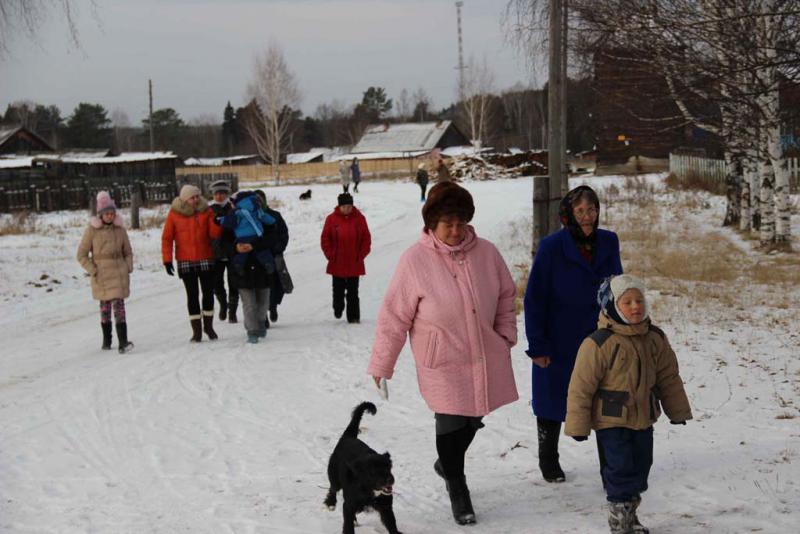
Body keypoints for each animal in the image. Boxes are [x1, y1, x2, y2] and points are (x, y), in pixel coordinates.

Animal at [324, 404, 404, 534]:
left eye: (389, 467)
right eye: (373, 472)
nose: (390, 479)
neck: (369, 489)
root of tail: (348, 436)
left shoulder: (386, 507)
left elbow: (392, 524)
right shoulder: (349, 505)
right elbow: (348, 525)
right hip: (334, 476)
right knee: (332, 488)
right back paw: (330, 503)